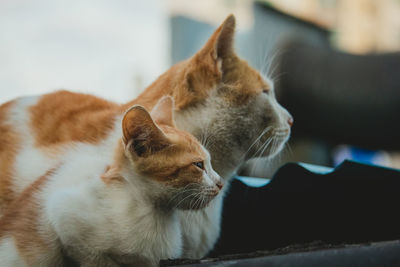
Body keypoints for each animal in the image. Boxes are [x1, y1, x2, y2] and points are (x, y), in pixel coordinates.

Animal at [0, 97, 222, 266]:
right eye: (198, 165)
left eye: (210, 162)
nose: (220, 183)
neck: (151, 211)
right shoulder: (64, 215)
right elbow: (95, 259)